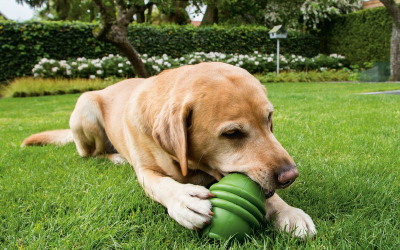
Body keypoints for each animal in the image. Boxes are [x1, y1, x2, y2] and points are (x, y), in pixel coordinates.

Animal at [22, 62, 316, 238]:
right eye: (232, 134)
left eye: (268, 119)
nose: (290, 176)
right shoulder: (145, 171)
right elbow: (162, 184)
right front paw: (184, 200)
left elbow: (271, 197)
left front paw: (288, 212)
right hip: (85, 108)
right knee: (91, 154)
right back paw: (114, 157)